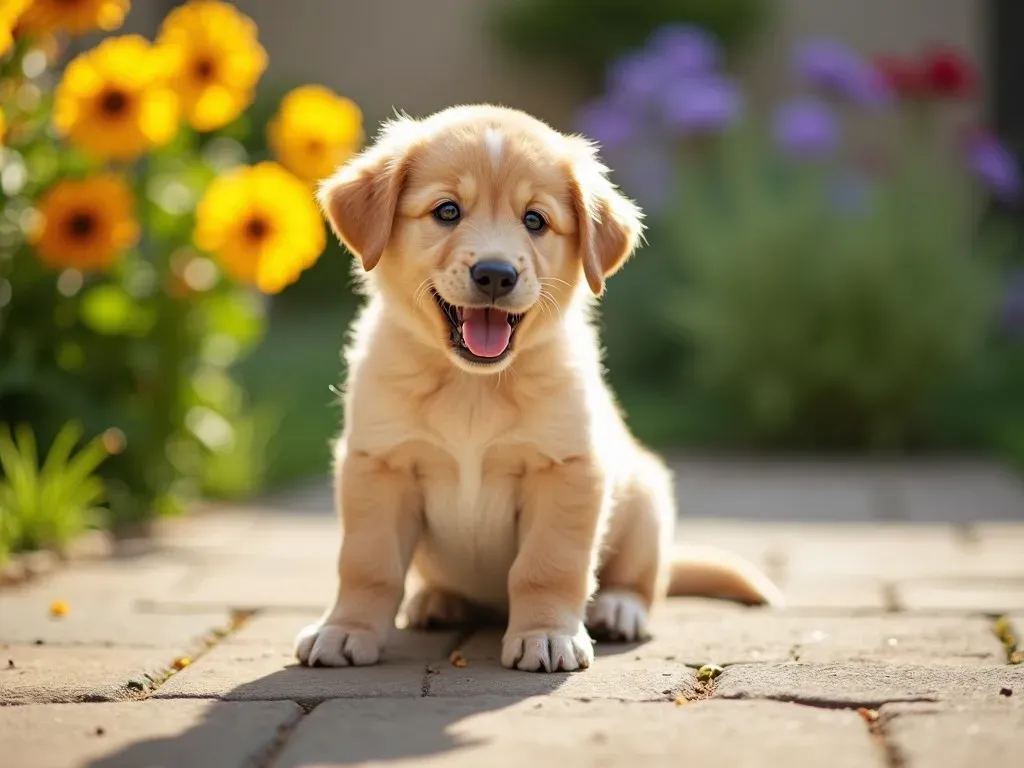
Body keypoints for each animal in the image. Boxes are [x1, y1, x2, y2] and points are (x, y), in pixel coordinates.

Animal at [296, 103, 782, 671]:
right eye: (447, 211)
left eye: (535, 220)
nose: (495, 274)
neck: (473, 385)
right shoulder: (377, 465)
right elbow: (367, 564)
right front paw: (344, 629)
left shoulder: (567, 470)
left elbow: (547, 566)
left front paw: (547, 635)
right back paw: (438, 600)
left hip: (646, 500)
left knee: (645, 581)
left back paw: (618, 609)